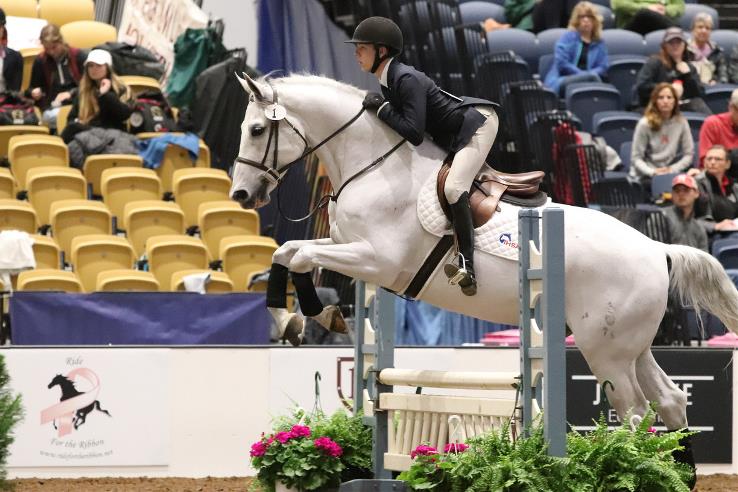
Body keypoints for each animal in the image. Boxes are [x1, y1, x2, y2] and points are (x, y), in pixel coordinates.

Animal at [230, 73, 736, 446]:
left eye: (256, 130)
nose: (241, 195)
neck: (371, 165)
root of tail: (656, 249)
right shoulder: (349, 250)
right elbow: (288, 252)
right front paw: (301, 319)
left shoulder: (375, 261)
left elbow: (299, 255)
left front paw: (307, 316)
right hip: (628, 343)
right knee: (669, 400)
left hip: (605, 350)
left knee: (633, 411)